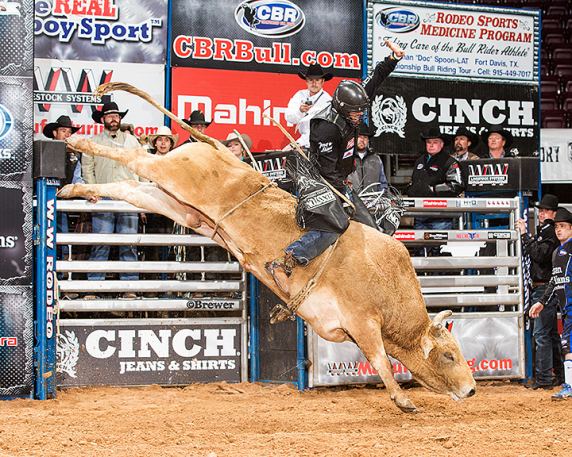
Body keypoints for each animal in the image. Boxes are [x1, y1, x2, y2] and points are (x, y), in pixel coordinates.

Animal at [60, 83, 476, 414]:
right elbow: (381, 359)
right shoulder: (363, 320)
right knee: (133, 158)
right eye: (449, 354)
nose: (472, 389)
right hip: (171, 174)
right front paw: (403, 400)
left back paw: (74, 189)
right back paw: (78, 143)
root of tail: (214, 148)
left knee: (128, 187)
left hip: (176, 203)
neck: (384, 283)